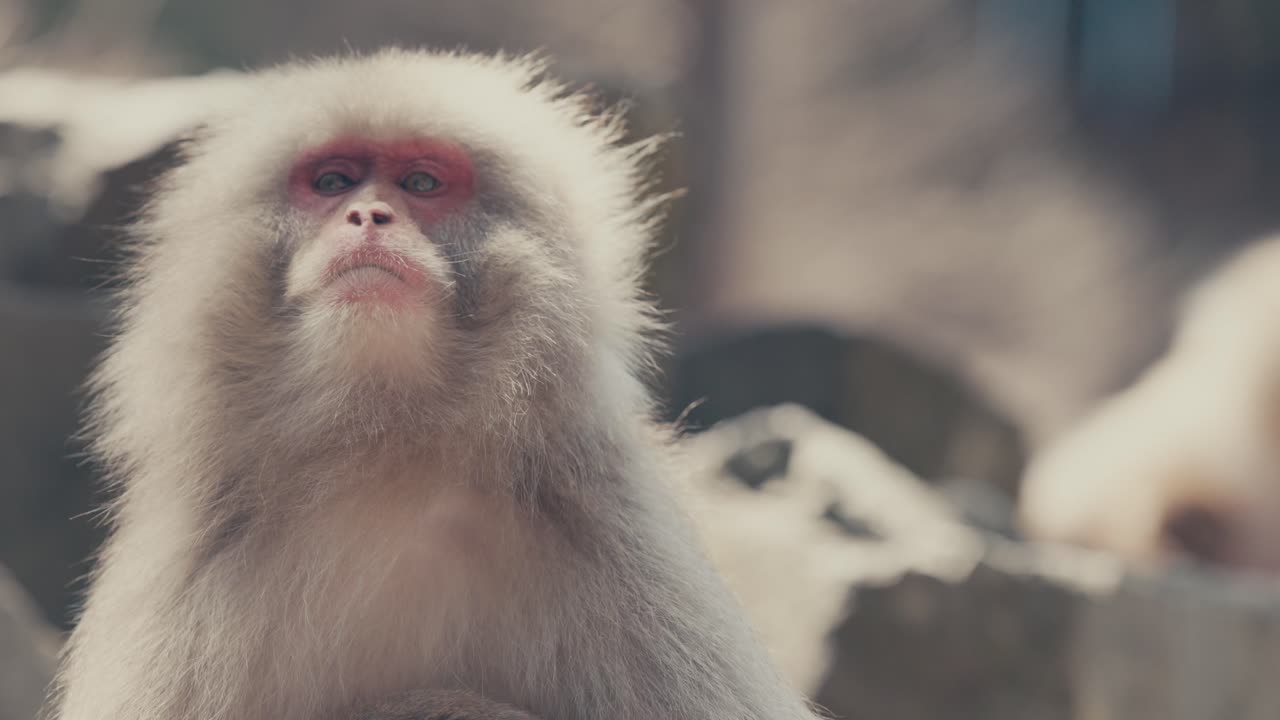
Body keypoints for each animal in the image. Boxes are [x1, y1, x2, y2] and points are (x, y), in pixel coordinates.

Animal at [44, 49, 821, 720]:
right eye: (333, 182)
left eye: (421, 184)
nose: (368, 216)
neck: (390, 447)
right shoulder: (191, 570)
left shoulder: (619, 541)